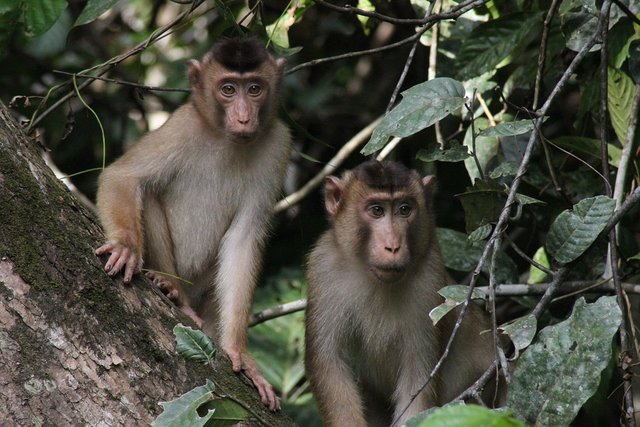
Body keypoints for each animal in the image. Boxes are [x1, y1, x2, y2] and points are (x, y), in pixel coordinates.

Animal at [94, 36, 292, 412]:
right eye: (228, 89)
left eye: (255, 88)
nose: (244, 117)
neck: (225, 139)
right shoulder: (181, 126)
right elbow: (123, 177)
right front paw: (126, 247)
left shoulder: (277, 147)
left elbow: (243, 240)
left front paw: (240, 352)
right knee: (149, 192)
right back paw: (174, 290)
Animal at [302, 160, 502, 427]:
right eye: (377, 210)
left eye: (404, 209)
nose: (393, 246)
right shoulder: (323, 267)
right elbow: (328, 363)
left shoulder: (429, 280)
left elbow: (418, 379)